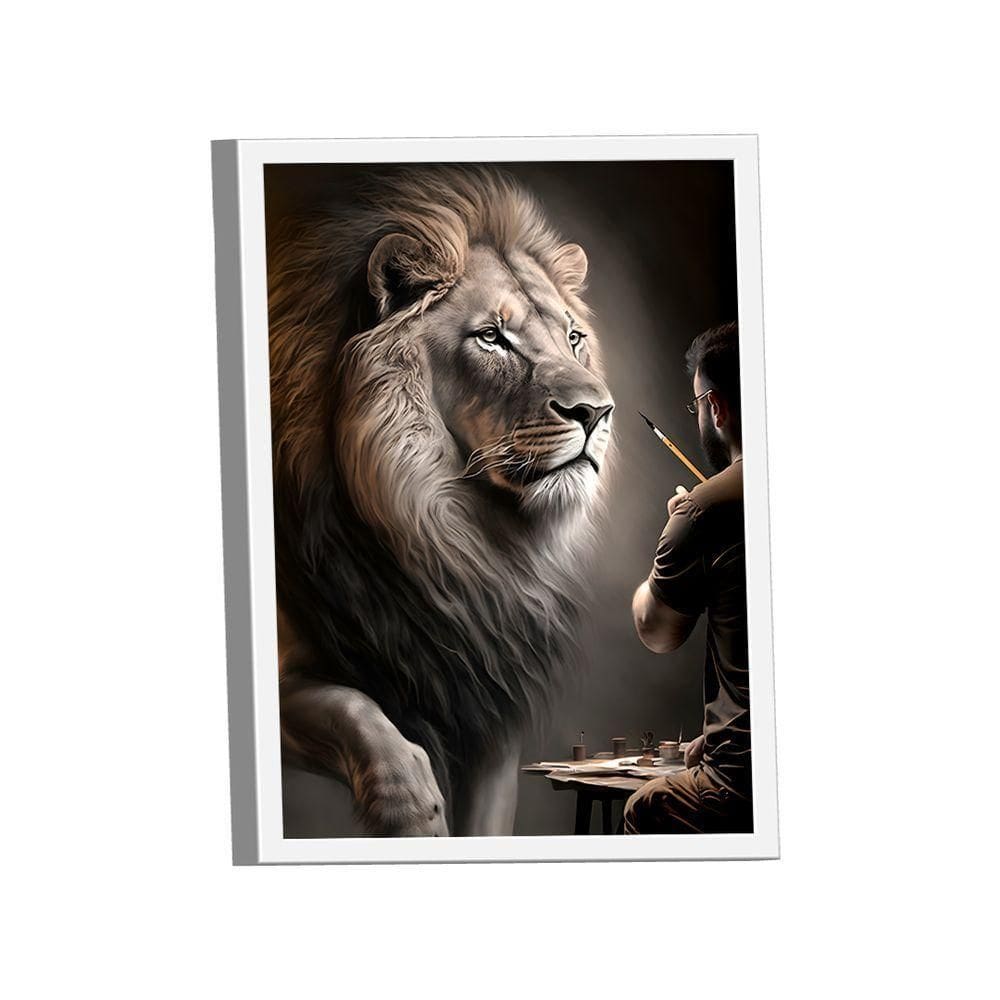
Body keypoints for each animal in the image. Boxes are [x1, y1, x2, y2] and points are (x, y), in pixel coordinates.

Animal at [269, 166, 615, 836]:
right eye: (492, 338)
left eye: (573, 338)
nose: (596, 411)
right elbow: (353, 705)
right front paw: (412, 806)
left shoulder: (487, 697)